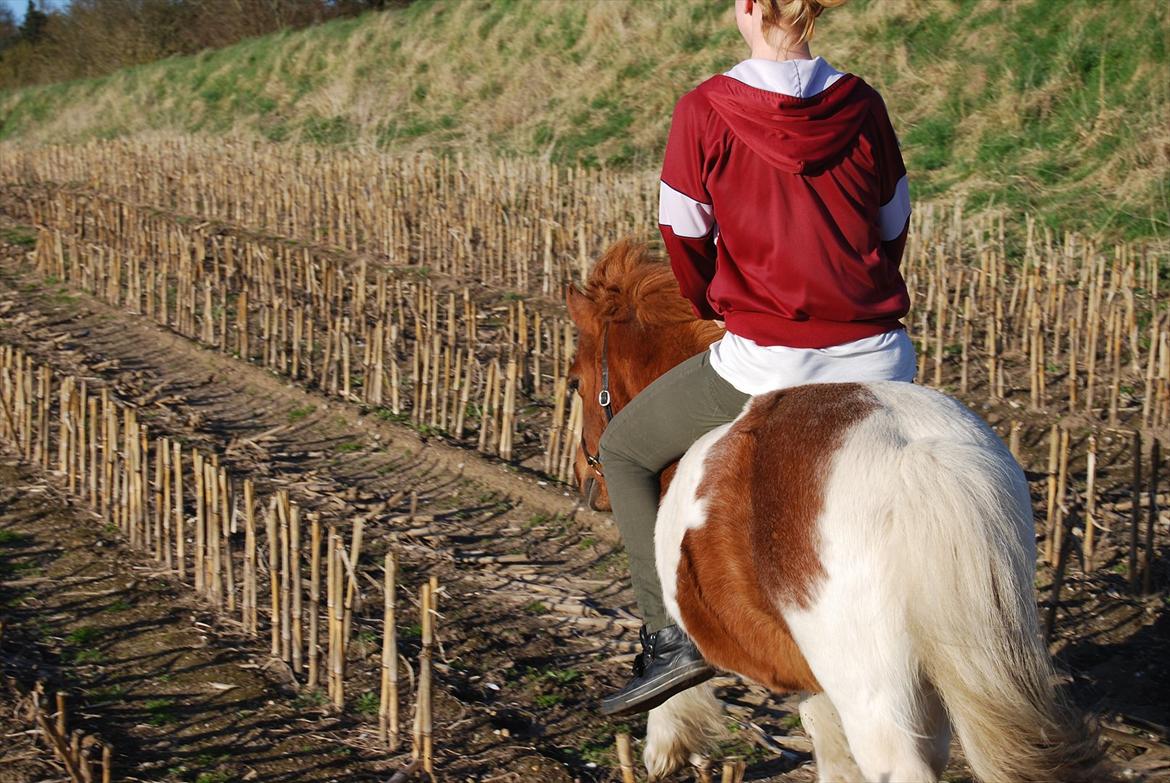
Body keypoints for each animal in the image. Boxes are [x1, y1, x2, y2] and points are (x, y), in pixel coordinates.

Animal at [566, 239, 1104, 781]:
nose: (584, 480)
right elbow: (829, 742)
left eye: (574, 383)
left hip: (874, 695)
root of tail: (915, 453)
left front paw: (663, 743)